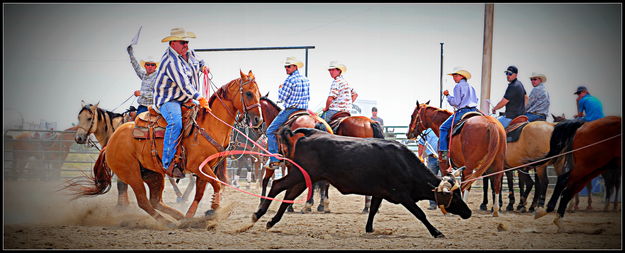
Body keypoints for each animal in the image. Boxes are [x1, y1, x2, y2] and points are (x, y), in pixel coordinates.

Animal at [68, 70, 264, 225]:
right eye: (248, 93)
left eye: (258, 93)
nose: (258, 120)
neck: (208, 126)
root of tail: (111, 142)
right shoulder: (197, 167)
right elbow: (216, 184)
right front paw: (213, 209)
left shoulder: (207, 168)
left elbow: (202, 191)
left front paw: (197, 214)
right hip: (131, 173)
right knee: (143, 201)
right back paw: (167, 222)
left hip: (152, 173)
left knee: (156, 201)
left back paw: (181, 219)